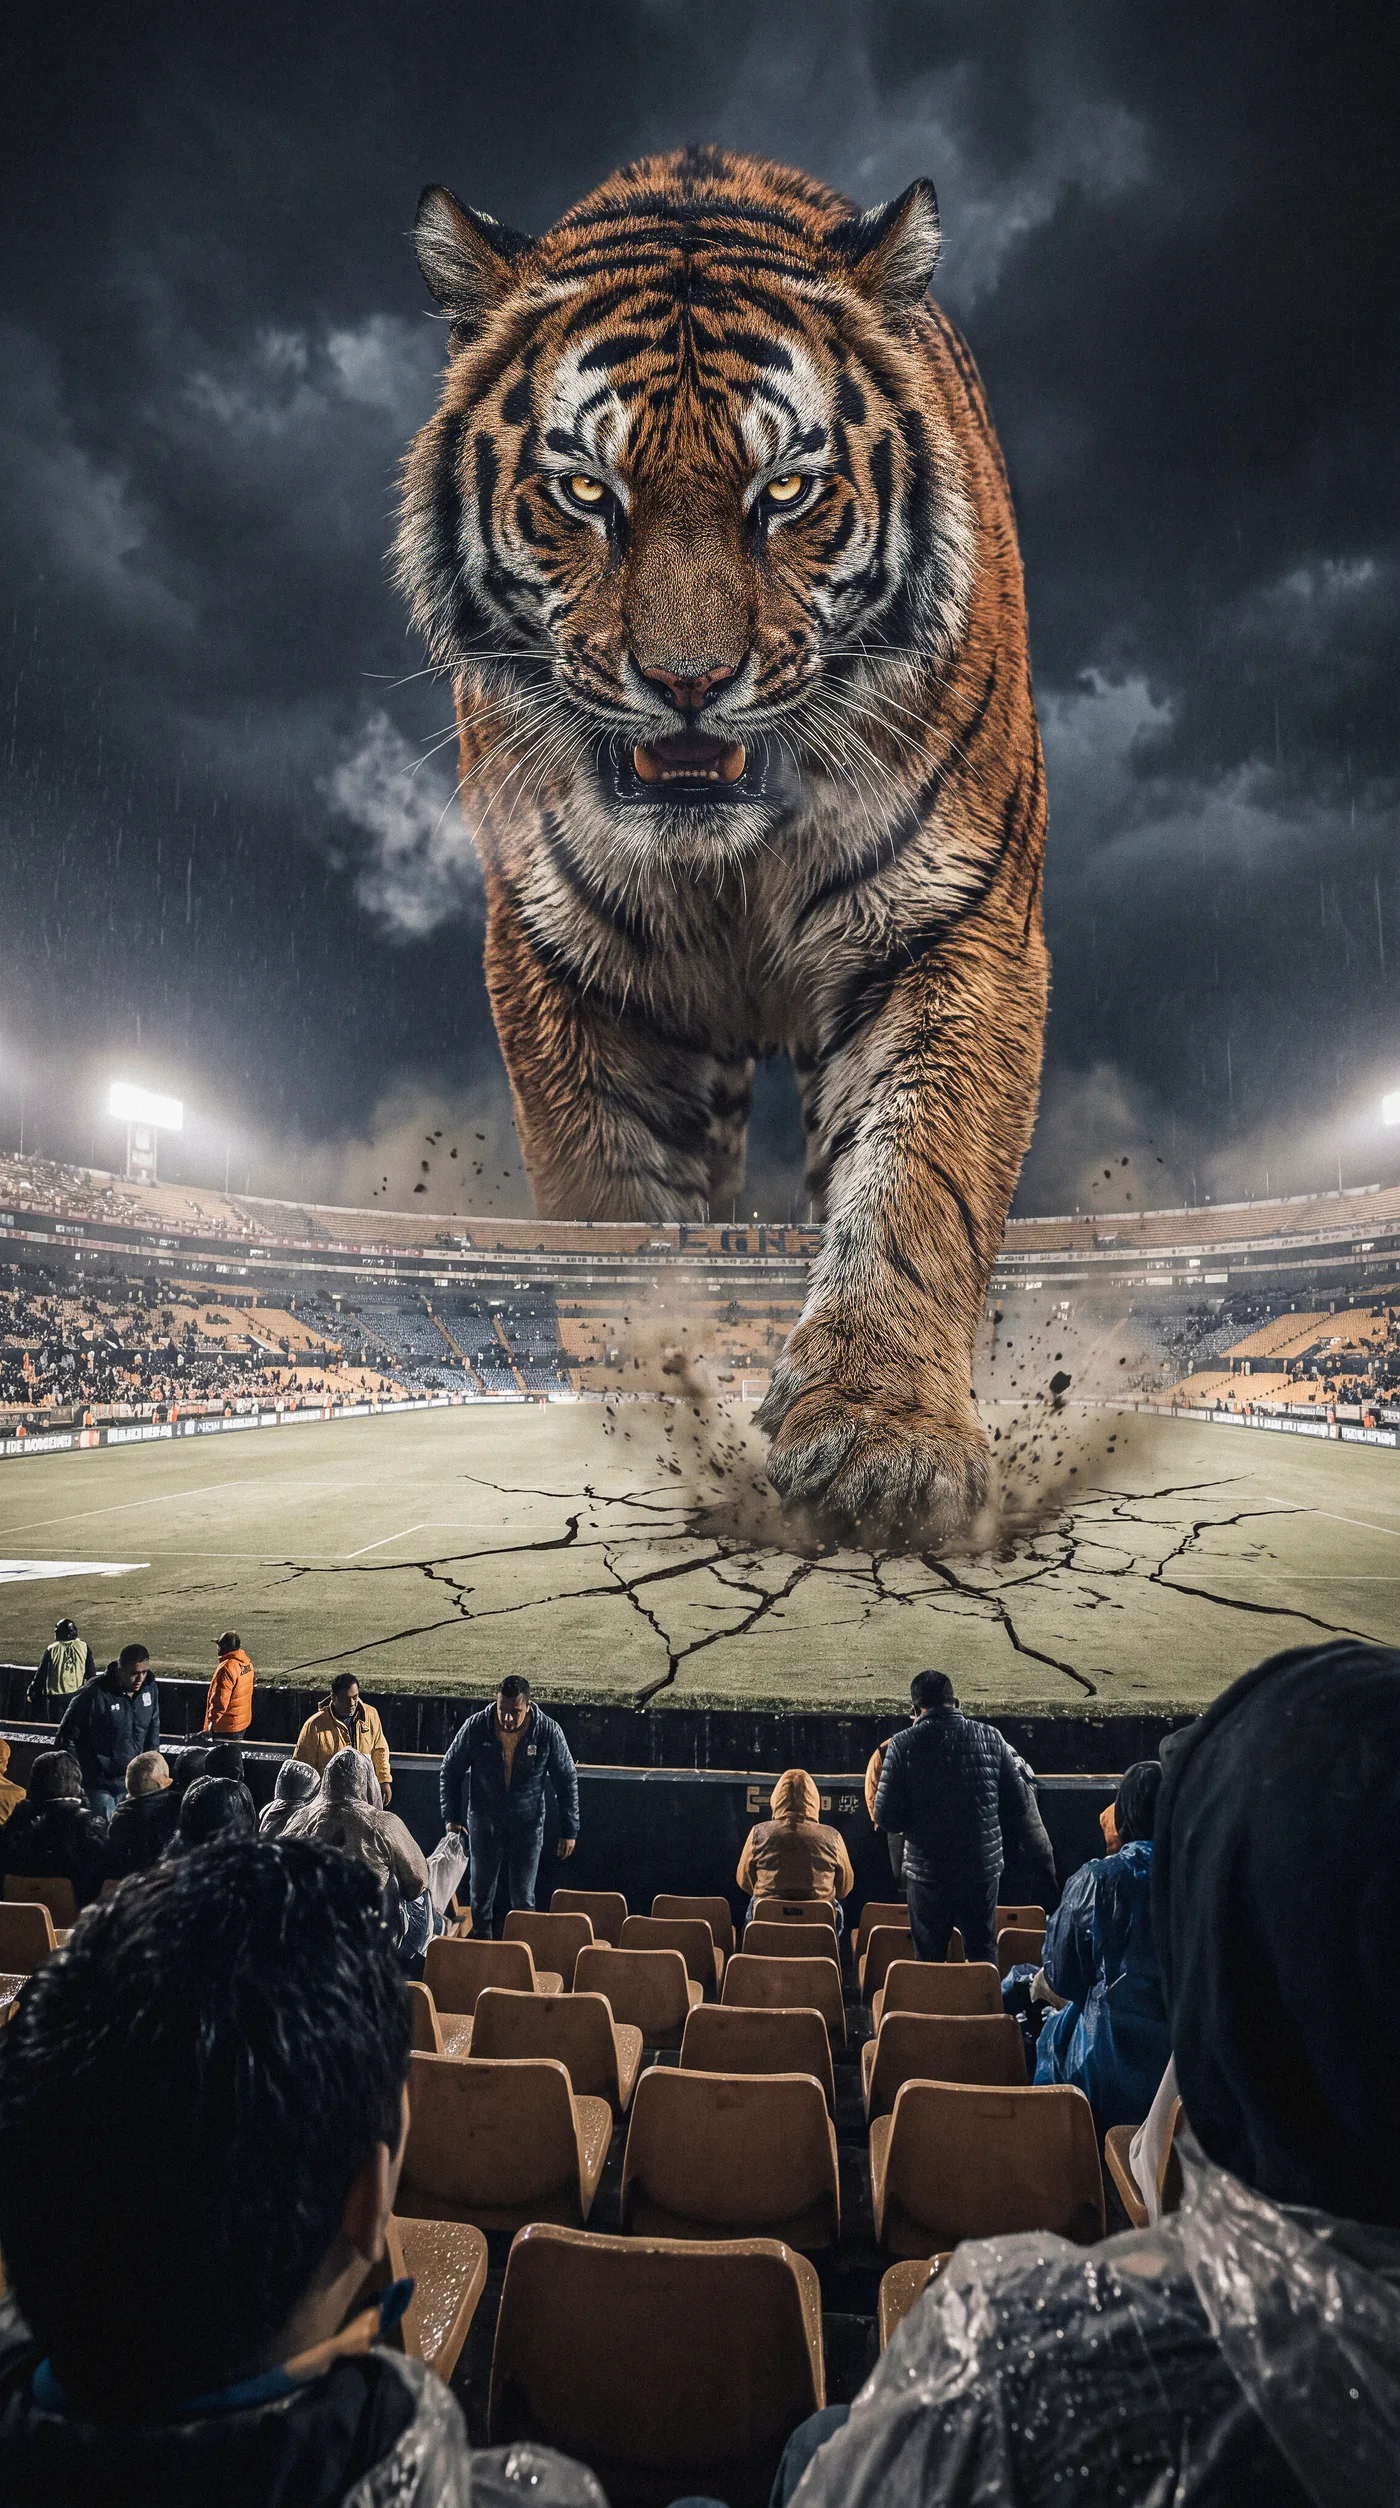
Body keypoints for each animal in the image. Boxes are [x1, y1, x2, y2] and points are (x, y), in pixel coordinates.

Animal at [395, 146, 1048, 1544]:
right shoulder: (566, 967)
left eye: (783, 491)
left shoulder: (953, 922)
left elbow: (912, 1185)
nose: (688, 684)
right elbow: (611, 1217)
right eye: (588, 492)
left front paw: (879, 1443)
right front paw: (653, 1415)